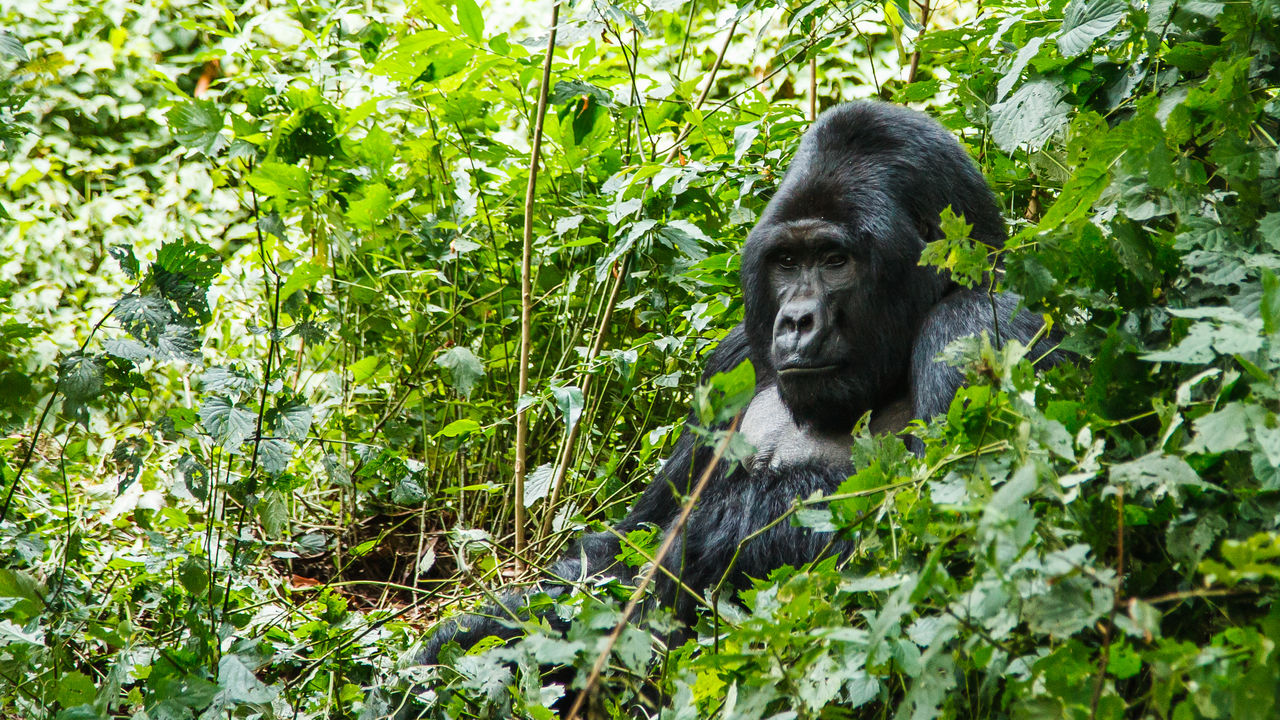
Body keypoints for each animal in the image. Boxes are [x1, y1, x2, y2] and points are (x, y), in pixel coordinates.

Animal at [409, 101, 1059, 676]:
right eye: (787, 261)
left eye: (835, 259)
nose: (795, 321)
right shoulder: (734, 358)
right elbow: (622, 546)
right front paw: (465, 637)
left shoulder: (974, 326)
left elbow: (942, 551)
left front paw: (702, 539)